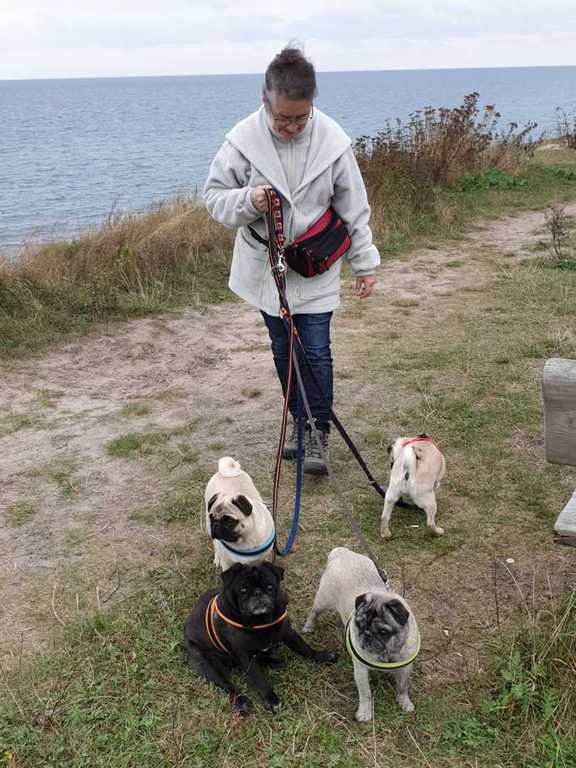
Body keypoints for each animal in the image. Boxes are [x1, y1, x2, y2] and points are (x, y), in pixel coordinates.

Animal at [183, 562, 338, 715]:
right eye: (243, 590)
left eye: (270, 587)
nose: (258, 593)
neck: (260, 621)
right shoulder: (245, 657)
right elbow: (260, 678)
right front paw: (271, 699)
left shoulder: (288, 633)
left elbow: (304, 648)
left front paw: (321, 656)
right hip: (207, 664)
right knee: (226, 684)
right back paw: (241, 701)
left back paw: (274, 661)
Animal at [303, 547, 419, 722]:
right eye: (359, 624)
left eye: (383, 631)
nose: (367, 633)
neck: (386, 654)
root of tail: (342, 552)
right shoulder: (361, 671)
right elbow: (365, 694)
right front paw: (365, 713)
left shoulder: (405, 669)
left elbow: (402, 687)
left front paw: (404, 702)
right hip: (323, 601)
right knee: (314, 612)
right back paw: (309, 626)